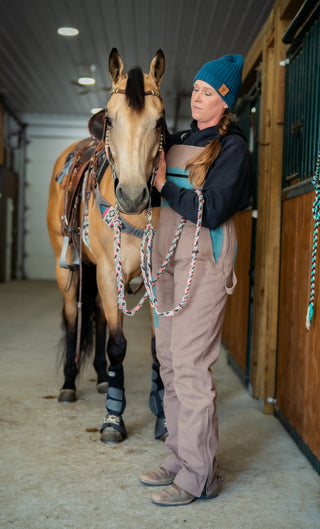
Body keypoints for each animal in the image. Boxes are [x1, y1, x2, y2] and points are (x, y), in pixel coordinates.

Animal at [48, 49, 168, 444]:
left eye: (159, 122)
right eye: (111, 120)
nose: (131, 197)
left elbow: (158, 349)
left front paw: (164, 420)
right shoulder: (105, 273)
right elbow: (117, 344)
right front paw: (113, 419)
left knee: (99, 318)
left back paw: (101, 377)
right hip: (70, 272)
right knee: (74, 320)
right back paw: (69, 385)